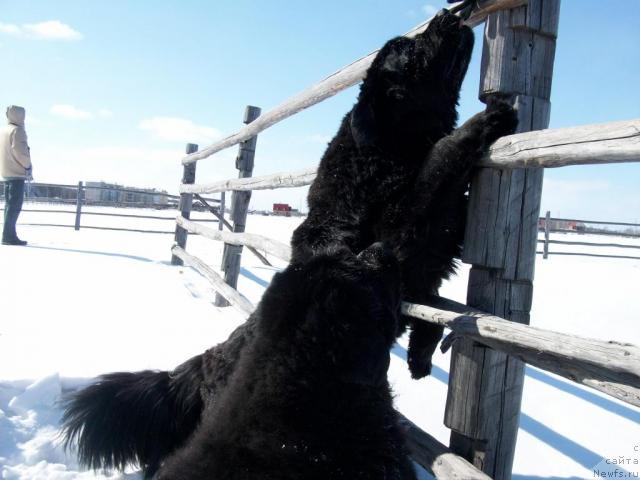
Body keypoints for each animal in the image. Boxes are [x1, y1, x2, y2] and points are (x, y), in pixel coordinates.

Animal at [62, 8, 516, 480]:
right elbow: (441, 159)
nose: (447, 13)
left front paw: (421, 357)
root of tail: (190, 374)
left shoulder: (422, 262)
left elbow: (433, 303)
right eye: (407, 49)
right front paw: (491, 118)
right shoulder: (404, 229)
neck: (383, 154)